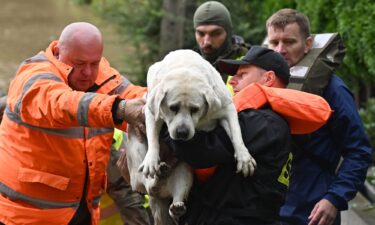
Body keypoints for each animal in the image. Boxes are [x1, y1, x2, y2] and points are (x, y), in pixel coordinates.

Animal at [125, 49, 258, 225]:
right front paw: (151, 160)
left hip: (185, 171)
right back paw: (157, 171)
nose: (182, 132)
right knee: (147, 183)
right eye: (173, 108)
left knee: (175, 195)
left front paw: (244, 158)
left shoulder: (227, 108)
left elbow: (236, 134)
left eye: (195, 109)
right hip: (135, 157)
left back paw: (175, 204)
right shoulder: (151, 111)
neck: (186, 69)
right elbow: (153, 138)